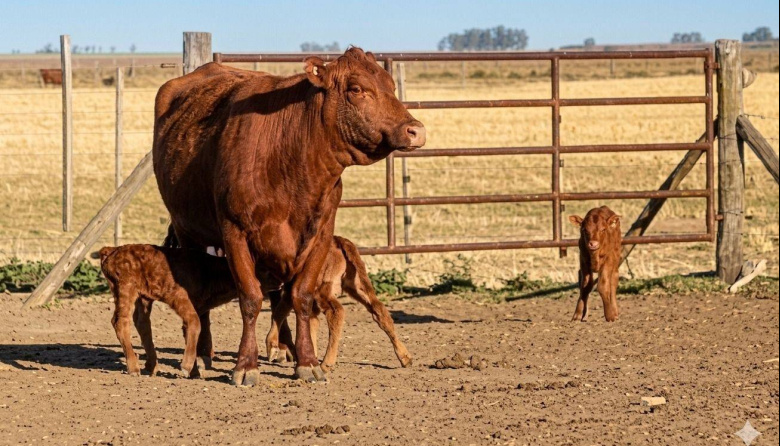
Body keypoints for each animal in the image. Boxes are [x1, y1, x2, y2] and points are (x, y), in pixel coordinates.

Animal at [152, 47, 425, 385]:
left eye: (391, 86)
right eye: (356, 89)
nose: (415, 131)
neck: (292, 158)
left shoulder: (320, 236)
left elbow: (301, 297)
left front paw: (306, 361)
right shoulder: (235, 233)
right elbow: (250, 298)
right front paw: (246, 365)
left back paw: (284, 348)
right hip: (188, 232)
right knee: (203, 298)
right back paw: (202, 354)